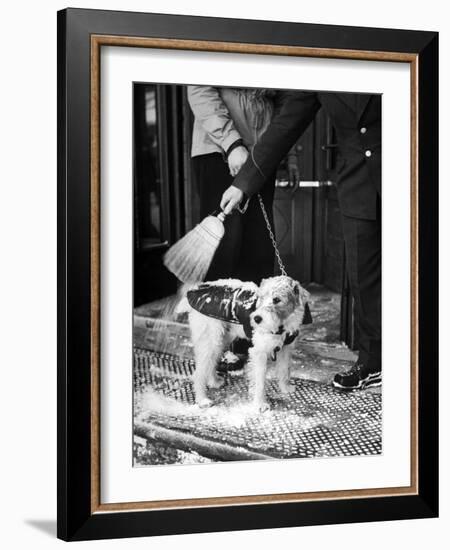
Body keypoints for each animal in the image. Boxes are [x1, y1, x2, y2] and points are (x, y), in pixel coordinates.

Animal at [178, 278, 312, 412]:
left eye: (277, 299)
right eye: (261, 298)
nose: (256, 319)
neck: (283, 324)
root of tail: (194, 290)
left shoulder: (285, 349)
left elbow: (284, 371)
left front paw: (285, 388)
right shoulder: (259, 353)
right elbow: (260, 381)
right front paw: (260, 404)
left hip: (221, 340)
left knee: (211, 363)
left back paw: (214, 382)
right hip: (211, 340)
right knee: (198, 372)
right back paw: (202, 400)